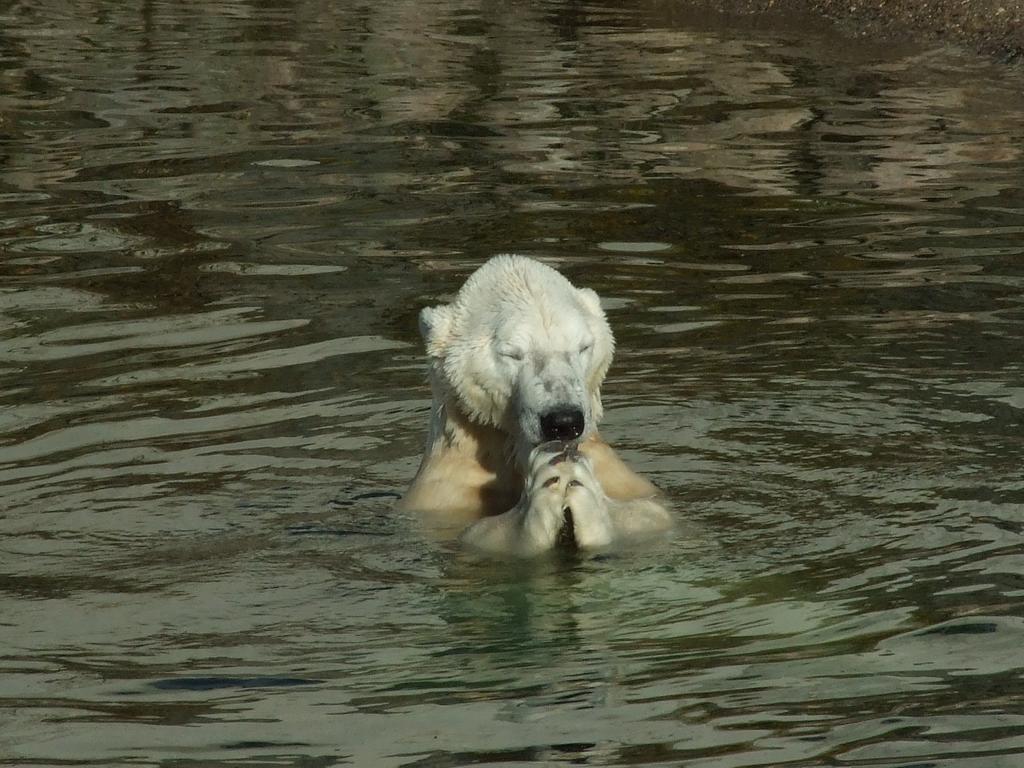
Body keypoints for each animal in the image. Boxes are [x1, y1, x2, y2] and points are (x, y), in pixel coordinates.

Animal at [399, 256, 671, 557]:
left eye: (582, 347)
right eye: (513, 353)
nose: (563, 421)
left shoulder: (626, 482)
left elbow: (653, 516)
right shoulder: (442, 496)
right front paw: (541, 494)